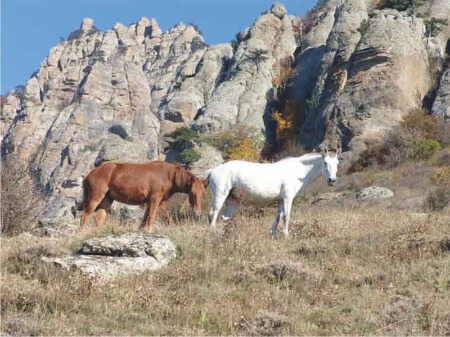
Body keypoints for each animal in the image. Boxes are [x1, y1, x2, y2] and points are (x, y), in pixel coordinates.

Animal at [206, 150, 340, 236]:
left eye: (337, 164)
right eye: (325, 163)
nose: (332, 180)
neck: (297, 171)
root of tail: (213, 170)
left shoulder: (281, 200)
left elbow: (278, 217)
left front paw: (273, 234)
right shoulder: (287, 198)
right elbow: (286, 216)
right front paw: (286, 235)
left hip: (230, 201)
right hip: (220, 196)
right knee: (213, 213)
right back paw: (212, 232)